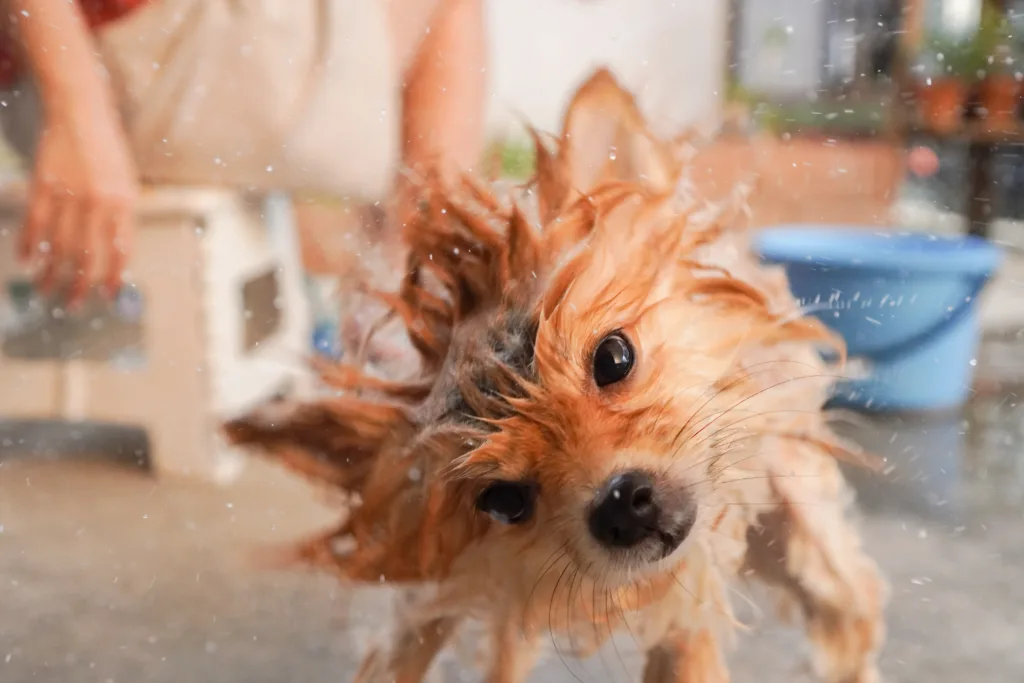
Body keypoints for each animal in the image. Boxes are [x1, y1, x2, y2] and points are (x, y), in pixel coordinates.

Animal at [228, 70, 884, 683]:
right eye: (504, 500)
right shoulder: (456, 589)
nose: (624, 504)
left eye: (614, 358)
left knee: (846, 601)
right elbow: (406, 651)